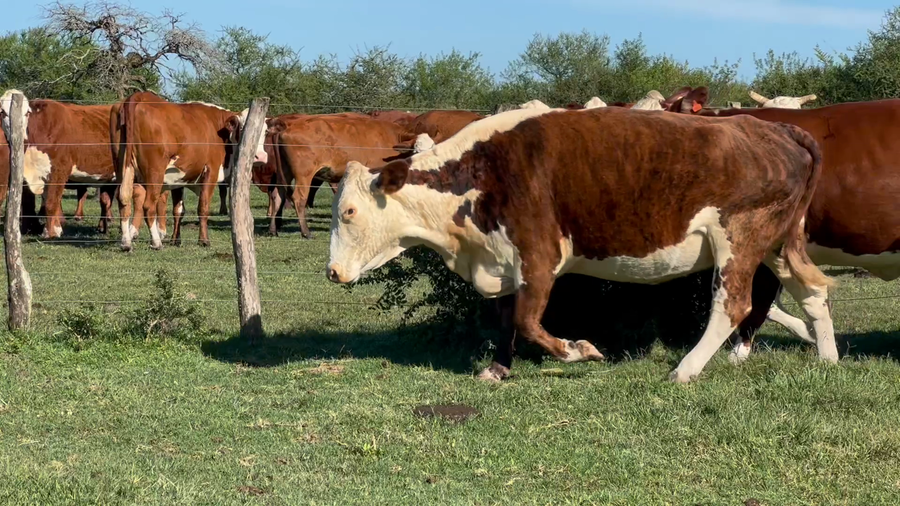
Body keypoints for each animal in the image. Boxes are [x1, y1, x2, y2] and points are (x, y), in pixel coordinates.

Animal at [110, 91, 268, 251]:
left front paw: (175, 240)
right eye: (242, 129)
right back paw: (156, 242)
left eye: (265, 132)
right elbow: (203, 207)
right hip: (154, 172)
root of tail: (140, 95)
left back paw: (126, 243)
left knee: (123, 201)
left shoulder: (177, 178)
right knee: (148, 206)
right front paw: (203, 240)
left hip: (123, 167)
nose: (260, 157)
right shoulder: (210, 172)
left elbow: (178, 211)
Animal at [265, 113, 407, 237]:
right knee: (299, 198)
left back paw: (273, 230)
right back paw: (306, 232)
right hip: (304, 175)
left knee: (277, 195)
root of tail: (287, 126)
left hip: (284, 172)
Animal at [325, 105, 836, 383]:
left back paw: (684, 369)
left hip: (739, 237)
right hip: (778, 244)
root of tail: (778, 128)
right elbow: (507, 320)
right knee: (813, 291)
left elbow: (529, 322)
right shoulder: (505, 260)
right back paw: (828, 359)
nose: (332, 272)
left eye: (348, 212)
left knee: (733, 305)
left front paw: (581, 350)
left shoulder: (539, 254)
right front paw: (498, 368)